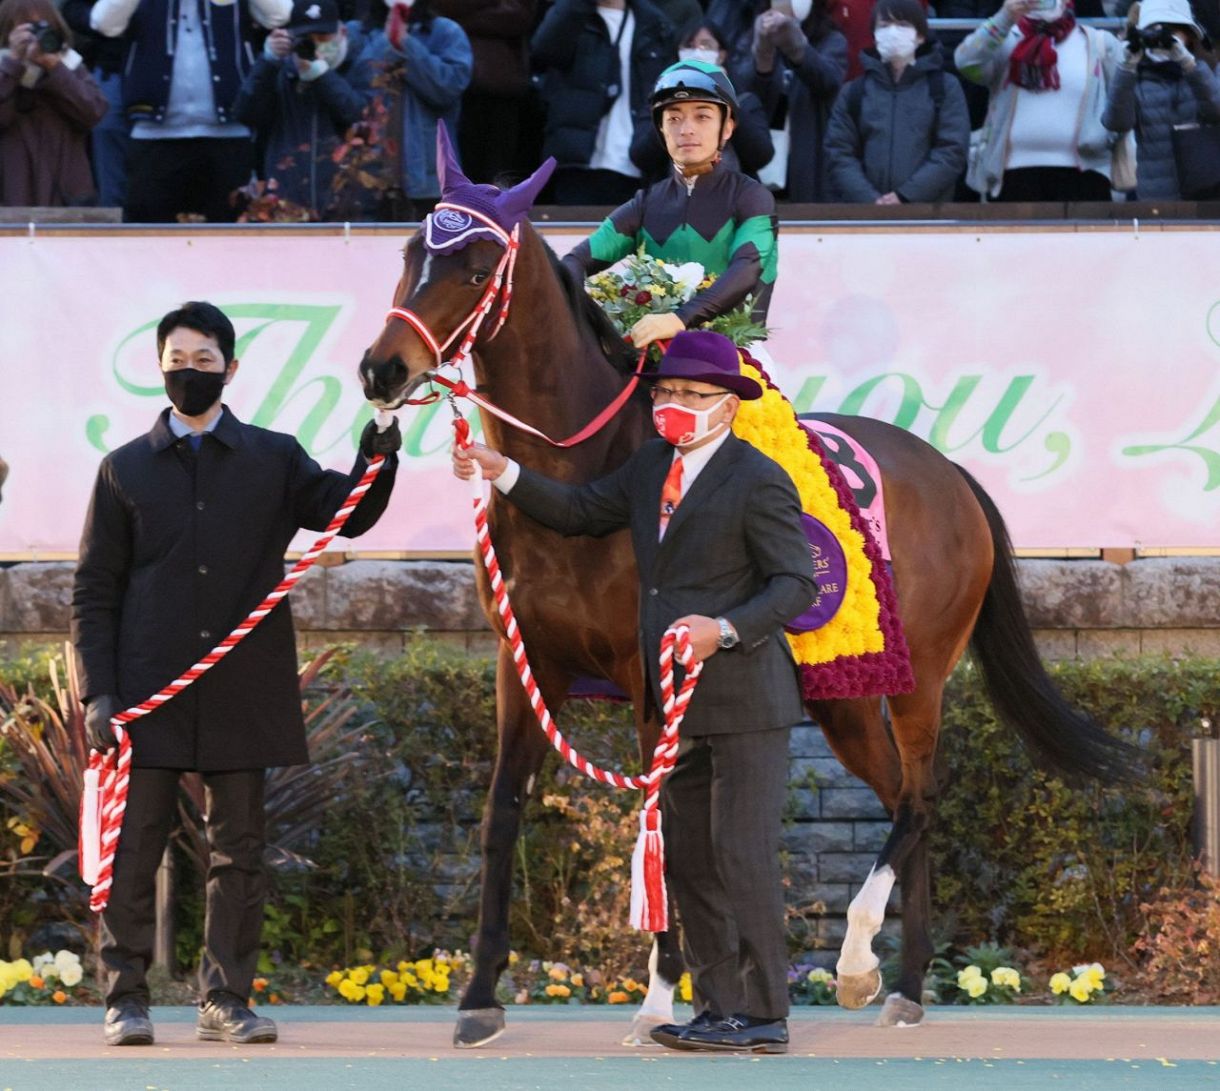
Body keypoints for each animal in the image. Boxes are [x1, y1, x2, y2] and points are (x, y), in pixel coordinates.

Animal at [356, 216, 1127, 1049]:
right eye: (410, 255)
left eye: (473, 271)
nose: (380, 369)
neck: (581, 464)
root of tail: (951, 474)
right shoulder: (523, 662)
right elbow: (502, 813)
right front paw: (478, 996)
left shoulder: (649, 668)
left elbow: (660, 813)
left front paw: (661, 994)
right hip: (844, 701)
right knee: (902, 798)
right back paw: (904, 983)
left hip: (916, 677)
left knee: (920, 797)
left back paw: (858, 957)